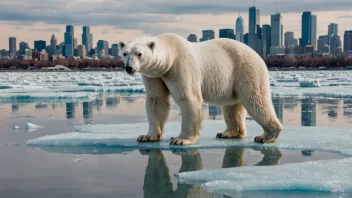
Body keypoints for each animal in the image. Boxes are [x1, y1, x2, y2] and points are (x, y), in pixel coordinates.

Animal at [118, 32, 284, 145]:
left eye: (139, 54)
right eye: (124, 53)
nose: (129, 67)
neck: (170, 55)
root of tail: (257, 53)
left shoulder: (180, 66)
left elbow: (187, 98)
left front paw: (180, 139)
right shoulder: (154, 75)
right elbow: (156, 100)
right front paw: (147, 136)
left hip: (246, 69)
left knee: (255, 99)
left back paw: (266, 136)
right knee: (231, 106)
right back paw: (228, 133)